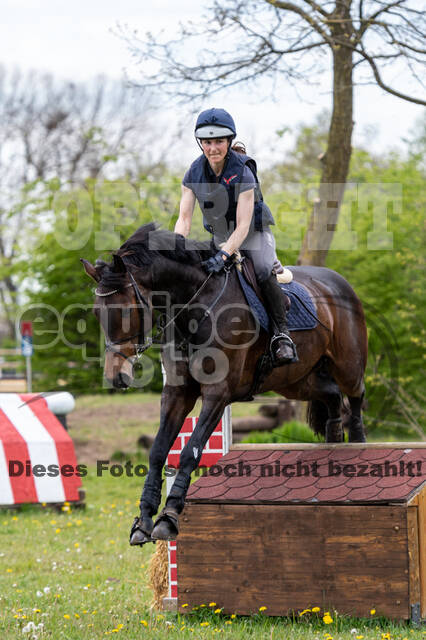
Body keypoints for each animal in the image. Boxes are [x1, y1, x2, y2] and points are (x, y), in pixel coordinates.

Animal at [81, 222, 367, 545]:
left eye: (126, 310)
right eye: (97, 312)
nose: (115, 376)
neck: (193, 306)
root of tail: (339, 282)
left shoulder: (217, 394)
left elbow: (190, 451)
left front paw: (169, 518)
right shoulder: (177, 392)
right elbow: (157, 451)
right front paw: (143, 521)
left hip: (347, 366)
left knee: (355, 396)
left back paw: (358, 445)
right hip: (295, 381)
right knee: (331, 396)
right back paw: (334, 442)